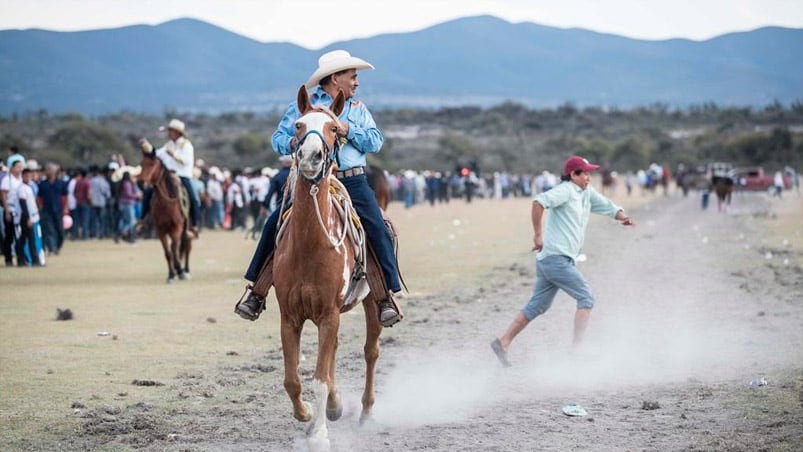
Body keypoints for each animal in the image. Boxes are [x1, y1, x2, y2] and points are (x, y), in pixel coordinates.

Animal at [139, 148, 192, 282]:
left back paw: (186, 270)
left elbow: (174, 249)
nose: (140, 183)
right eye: (141, 164)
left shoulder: (177, 228)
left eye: (152, 164)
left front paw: (180, 271)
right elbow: (168, 252)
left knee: (186, 247)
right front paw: (171, 274)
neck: (166, 204)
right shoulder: (161, 230)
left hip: (188, 229)